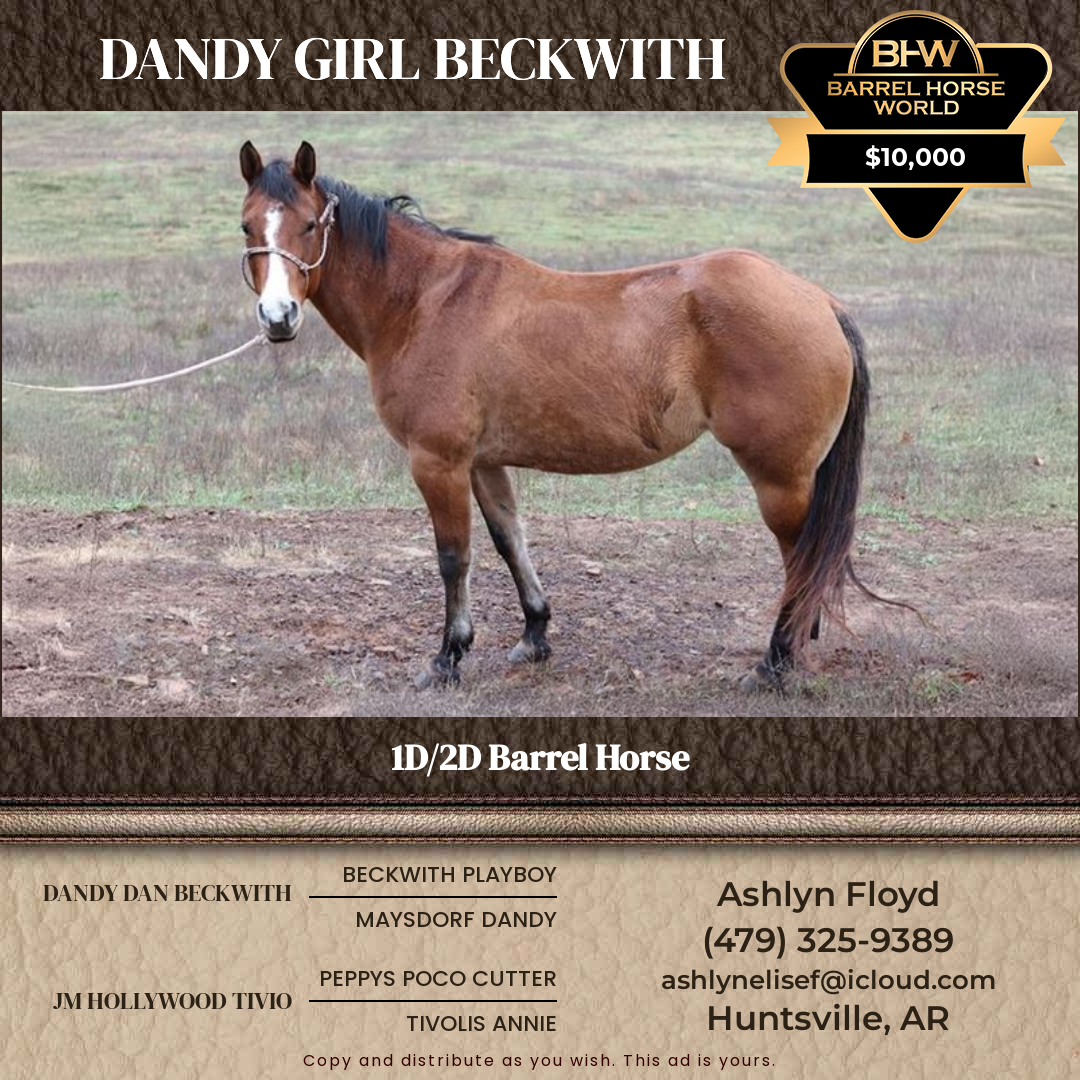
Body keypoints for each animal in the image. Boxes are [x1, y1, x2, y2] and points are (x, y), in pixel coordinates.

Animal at [238, 140, 880, 692]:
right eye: (247, 225)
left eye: (309, 225)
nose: (278, 316)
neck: (424, 301)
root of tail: (819, 300)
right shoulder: (482, 463)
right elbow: (509, 541)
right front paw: (535, 635)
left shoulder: (437, 462)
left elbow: (453, 558)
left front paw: (447, 658)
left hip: (778, 479)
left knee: (801, 558)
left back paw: (774, 663)